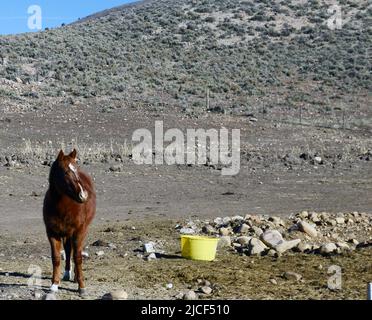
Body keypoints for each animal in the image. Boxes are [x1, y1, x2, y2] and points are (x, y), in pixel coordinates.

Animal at [42, 149, 96, 296]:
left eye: (76, 168)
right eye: (65, 172)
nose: (83, 195)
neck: (63, 207)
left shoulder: (78, 231)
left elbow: (78, 257)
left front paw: (82, 287)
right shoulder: (52, 232)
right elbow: (56, 258)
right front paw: (54, 285)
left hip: (81, 231)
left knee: (75, 251)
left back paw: (76, 277)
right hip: (66, 233)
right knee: (67, 250)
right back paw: (67, 274)